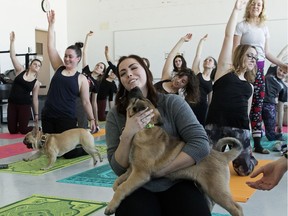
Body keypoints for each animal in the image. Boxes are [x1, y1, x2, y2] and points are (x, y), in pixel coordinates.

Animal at [103, 86, 243, 216]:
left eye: (139, 98)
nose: (135, 87)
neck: (144, 128)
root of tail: (222, 156)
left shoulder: (140, 173)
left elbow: (123, 187)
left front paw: (111, 206)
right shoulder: (132, 169)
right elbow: (120, 179)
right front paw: (115, 186)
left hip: (216, 189)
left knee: (237, 208)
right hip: (206, 189)